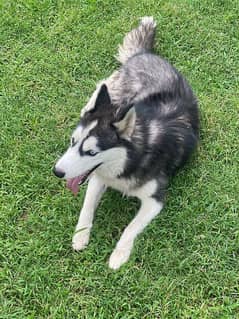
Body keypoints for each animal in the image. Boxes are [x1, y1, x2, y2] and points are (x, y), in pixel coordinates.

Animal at [53, 17, 199, 270]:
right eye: (72, 141)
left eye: (91, 152)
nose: (57, 171)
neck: (129, 159)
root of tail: (144, 54)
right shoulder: (97, 178)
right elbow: (86, 207)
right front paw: (81, 235)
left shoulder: (154, 200)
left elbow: (131, 228)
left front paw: (119, 254)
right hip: (115, 91)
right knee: (101, 88)